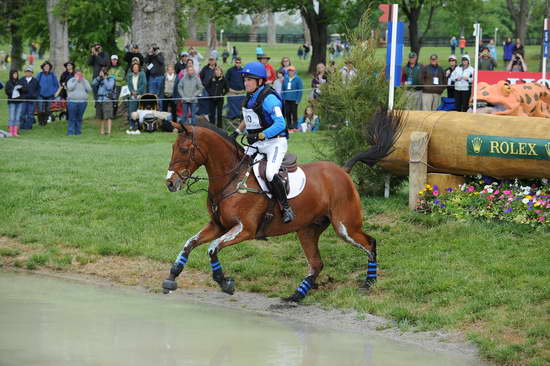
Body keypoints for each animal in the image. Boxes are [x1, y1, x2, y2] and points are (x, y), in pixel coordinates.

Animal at [162, 109, 404, 304]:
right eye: (173, 147)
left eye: (184, 150)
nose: (170, 183)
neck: (232, 178)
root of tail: (342, 170)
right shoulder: (218, 225)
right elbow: (189, 243)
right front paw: (172, 276)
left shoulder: (244, 229)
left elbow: (212, 248)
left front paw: (224, 282)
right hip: (307, 230)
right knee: (316, 264)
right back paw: (296, 296)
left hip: (345, 227)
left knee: (369, 243)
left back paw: (368, 283)